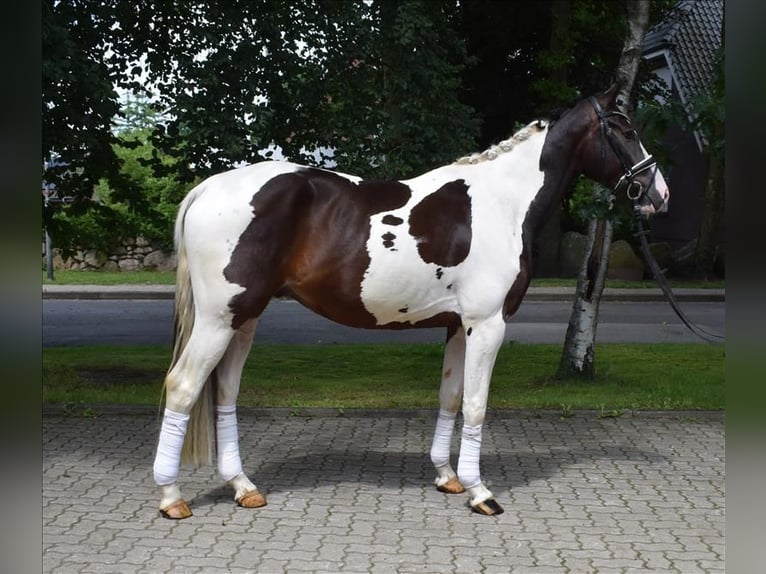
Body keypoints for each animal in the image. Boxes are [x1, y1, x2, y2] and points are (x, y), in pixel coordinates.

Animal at [153, 86, 669, 519]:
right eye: (626, 130)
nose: (659, 194)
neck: (502, 203)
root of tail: (208, 188)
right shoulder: (488, 324)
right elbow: (476, 404)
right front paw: (481, 492)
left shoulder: (459, 325)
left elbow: (451, 397)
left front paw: (448, 477)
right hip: (219, 320)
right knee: (182, 386)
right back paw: (172, 497)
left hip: (244, 318)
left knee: (224, 393)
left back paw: (243, 487)